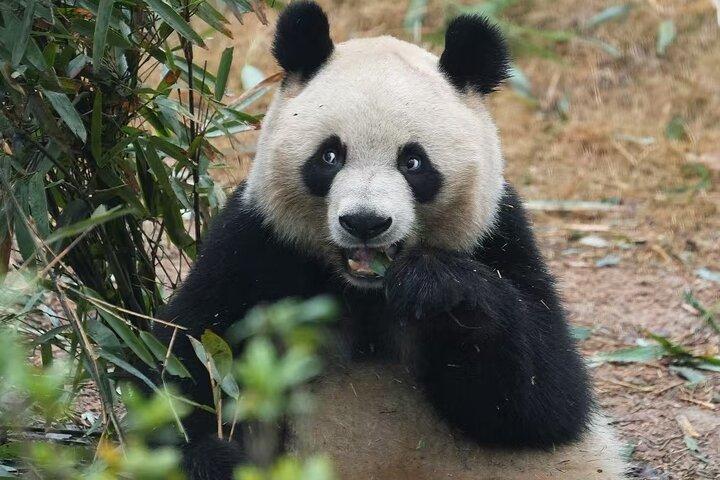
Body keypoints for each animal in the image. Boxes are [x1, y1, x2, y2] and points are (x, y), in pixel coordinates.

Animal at [153, 2, 627, 479]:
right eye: (330, 155)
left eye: (413, 162)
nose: (365, 222)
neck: (364, 292)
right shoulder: (256, 245)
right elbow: (181, 365)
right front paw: (214, 460)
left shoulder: (498, 235)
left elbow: (546, 399)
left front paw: (433, 286)